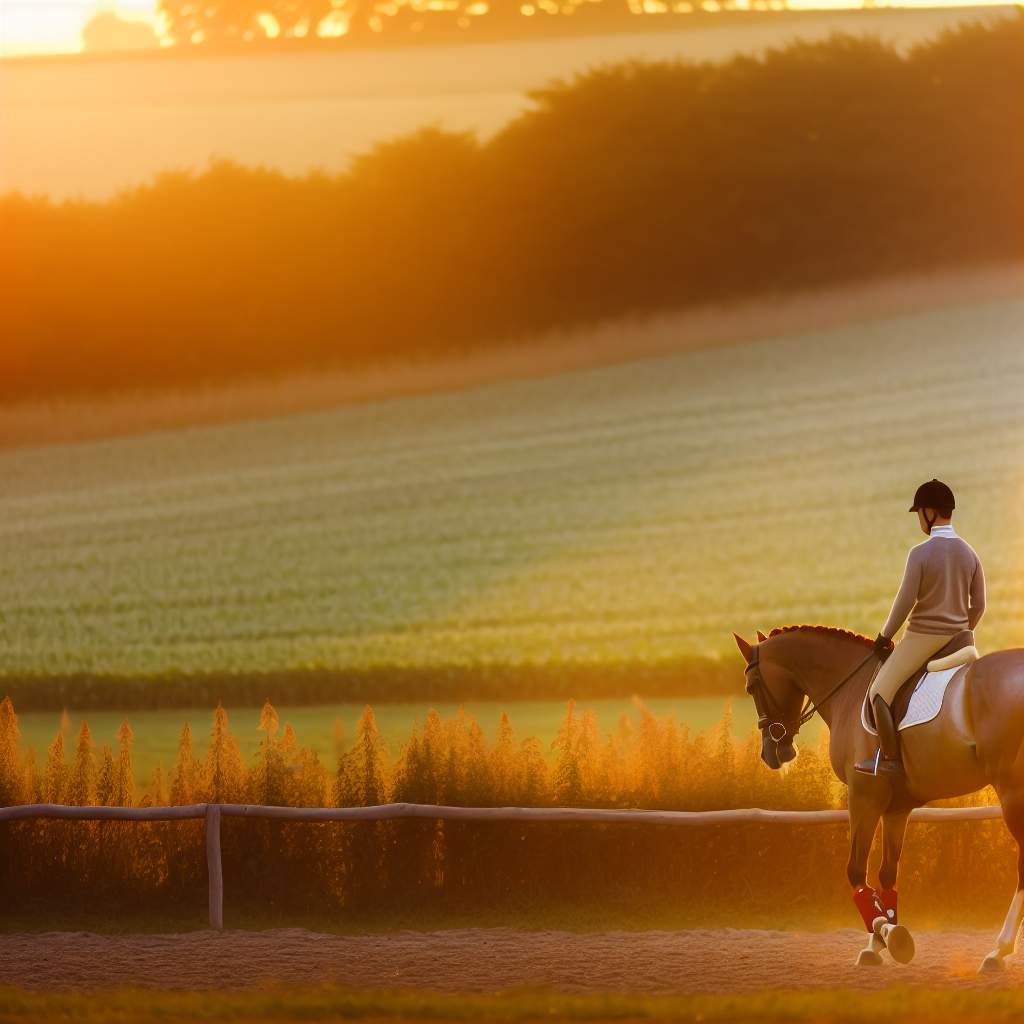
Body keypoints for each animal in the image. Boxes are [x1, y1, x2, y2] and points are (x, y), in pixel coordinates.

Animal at [733, 622, 1024, 966]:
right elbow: (887, 873)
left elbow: (856, 870)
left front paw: (887, 933)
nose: (772, 753)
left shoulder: (863, 796)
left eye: (751, 687)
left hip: (1012, 792)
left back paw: (998, 950)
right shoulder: (896, 808)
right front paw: (878, 940)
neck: (849, 688)